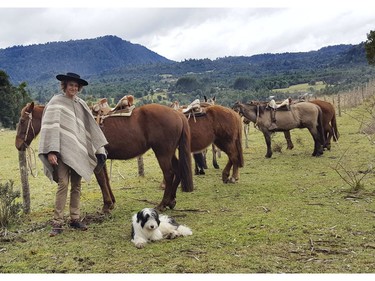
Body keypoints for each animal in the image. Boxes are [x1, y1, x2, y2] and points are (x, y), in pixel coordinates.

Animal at [15, 100, 194, 210]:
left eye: (22, 121)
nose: (18, 144)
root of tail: (177, 114)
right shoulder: (103, 158)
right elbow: (106, 180)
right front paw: (112, 202)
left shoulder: (96, 159)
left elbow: (101, 180)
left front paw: (107, 205)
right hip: (170, 152)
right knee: (177, 171)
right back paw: (171, 201)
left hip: (162, 152)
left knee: (169, 174)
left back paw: (162, 203)